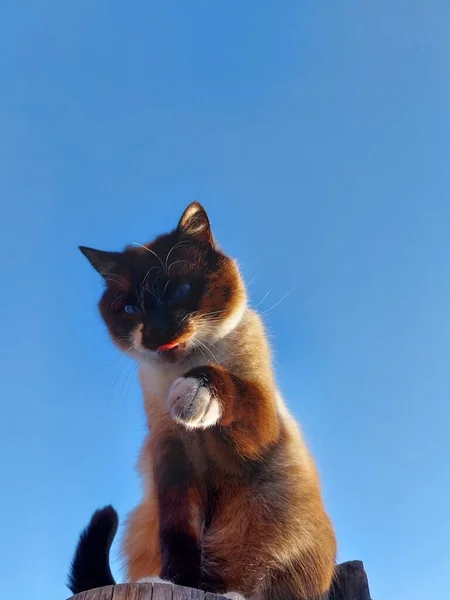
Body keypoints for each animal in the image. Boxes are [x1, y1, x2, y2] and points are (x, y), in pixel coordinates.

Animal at [70, 203, 336, 600]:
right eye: (131, 310)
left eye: (180, 290)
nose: (157, 334)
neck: (183, 364)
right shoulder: (173, 460)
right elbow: (179, 535)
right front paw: (175, 581)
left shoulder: (259, 428)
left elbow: (227, 383)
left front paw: (193, 392)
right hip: (144, 517)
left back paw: (231, 594)